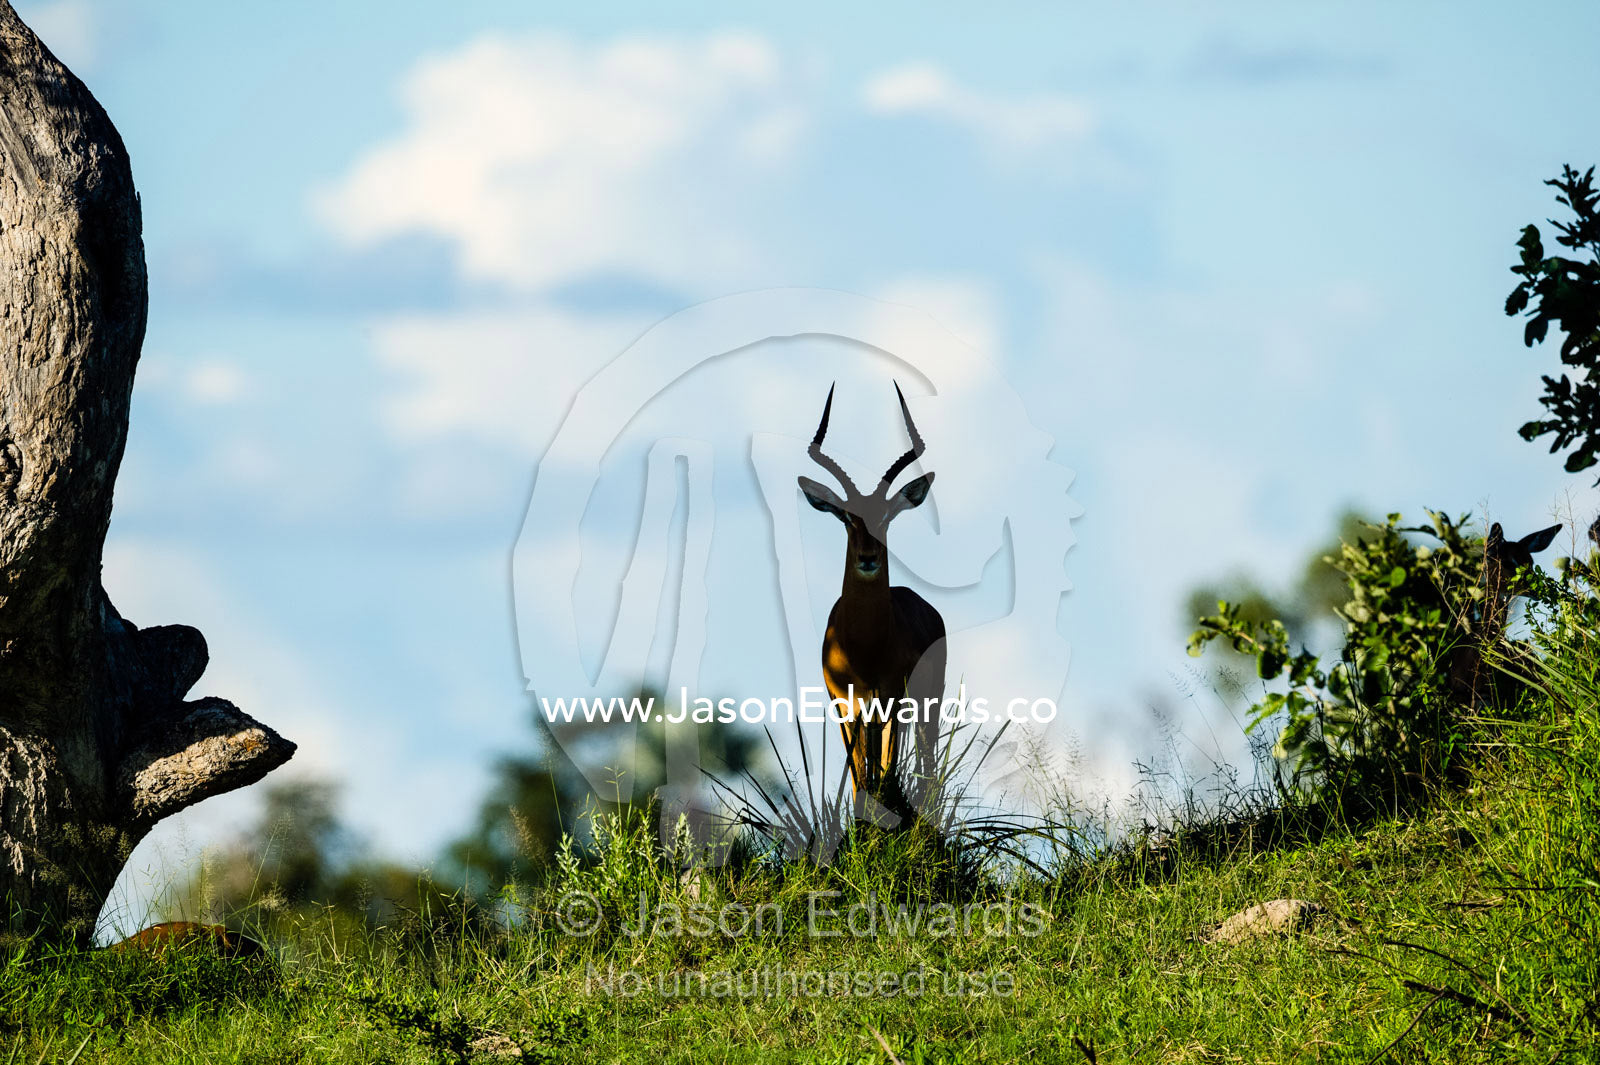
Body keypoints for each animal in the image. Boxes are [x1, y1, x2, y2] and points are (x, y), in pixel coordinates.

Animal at [798, 383, 946, 822]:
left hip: (927, 702)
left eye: (886, 517)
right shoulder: (843, 704)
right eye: (847, 517)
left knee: (925, 763)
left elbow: (886, 769)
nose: (867, 558)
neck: (862, 646)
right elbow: (858, 775)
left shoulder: (892, 699)